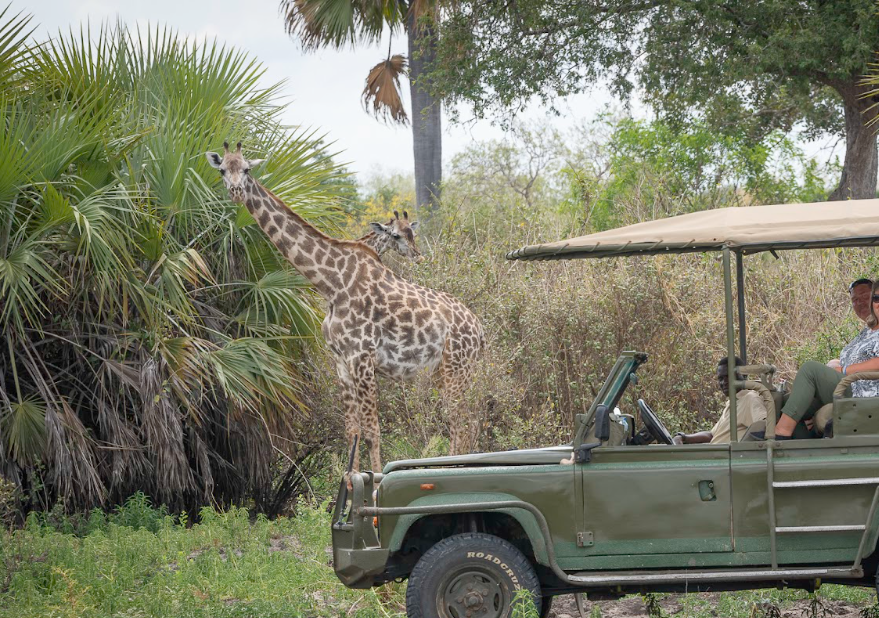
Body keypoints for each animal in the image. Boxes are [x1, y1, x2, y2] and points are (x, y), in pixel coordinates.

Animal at [205, 142, 484, 470]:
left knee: (462, 421)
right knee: (467, 421)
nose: (236, 191)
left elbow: (373, 432)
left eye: (247, 169)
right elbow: (352, 431)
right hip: (446, 370)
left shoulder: (362, 357)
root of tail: (480, 330)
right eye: (223, 170)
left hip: (458, 367)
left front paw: (376, 481)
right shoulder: (341, 360)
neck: (330, 283)